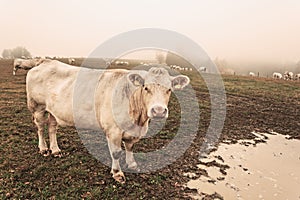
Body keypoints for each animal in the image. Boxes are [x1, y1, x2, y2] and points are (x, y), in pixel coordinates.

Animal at [26, 60, 190, 183]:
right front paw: (117, 173)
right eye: (145, 88)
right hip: (37, 107)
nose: (159, 111)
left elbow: (130, 147)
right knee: (40, 128)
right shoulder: (113, 130)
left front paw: (132, 164)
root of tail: (45, 62)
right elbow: (116, 152)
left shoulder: (132, 132)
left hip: (54, 111)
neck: (139, 120)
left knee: (52, 127)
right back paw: (44, 149)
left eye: (169, 89)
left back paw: (55, 150)